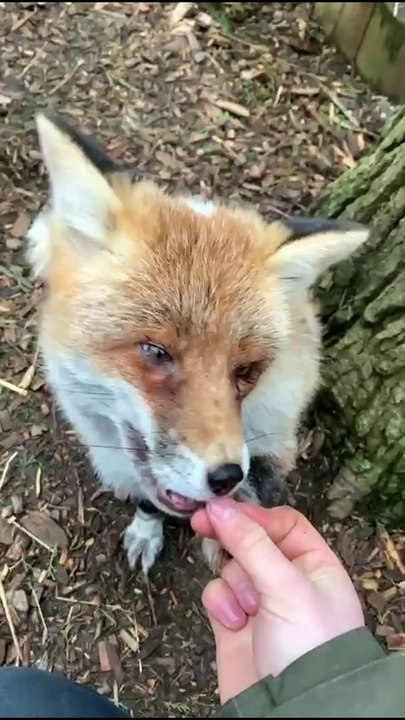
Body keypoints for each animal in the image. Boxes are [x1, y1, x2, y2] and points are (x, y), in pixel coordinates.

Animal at [26, 111, 370, 575]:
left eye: (247, 371)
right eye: (156, 352)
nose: (226, 477)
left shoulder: (273, 444)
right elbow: (150, 500)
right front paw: (146, 528)